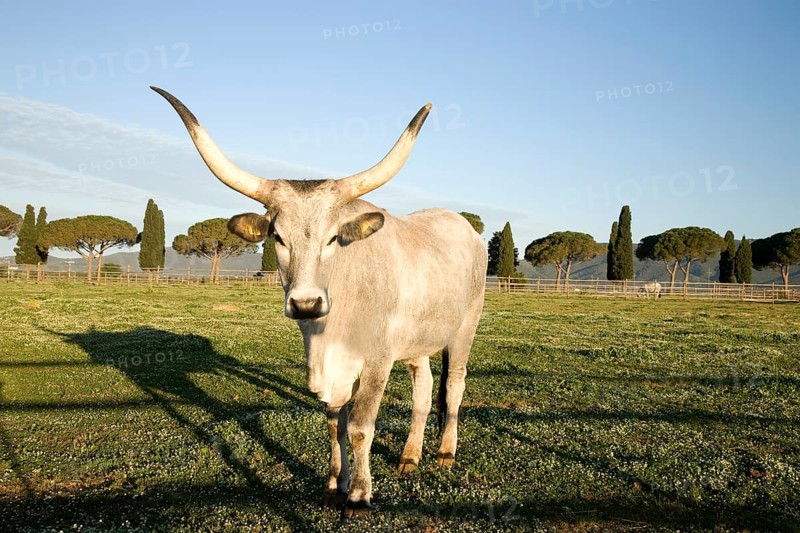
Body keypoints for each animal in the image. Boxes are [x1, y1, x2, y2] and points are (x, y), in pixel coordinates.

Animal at [151, 87, 487, 517]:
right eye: (277, 236)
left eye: (332, 238)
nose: (306, 304)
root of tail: (462, 224)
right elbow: (334, 423)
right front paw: (333, 485)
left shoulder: (376, 360)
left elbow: (360, 426)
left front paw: (359, 494)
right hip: (418, 341)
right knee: (425, 390)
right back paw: (410, 456)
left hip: (465, 329)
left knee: (455, 385)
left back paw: (445, 452)